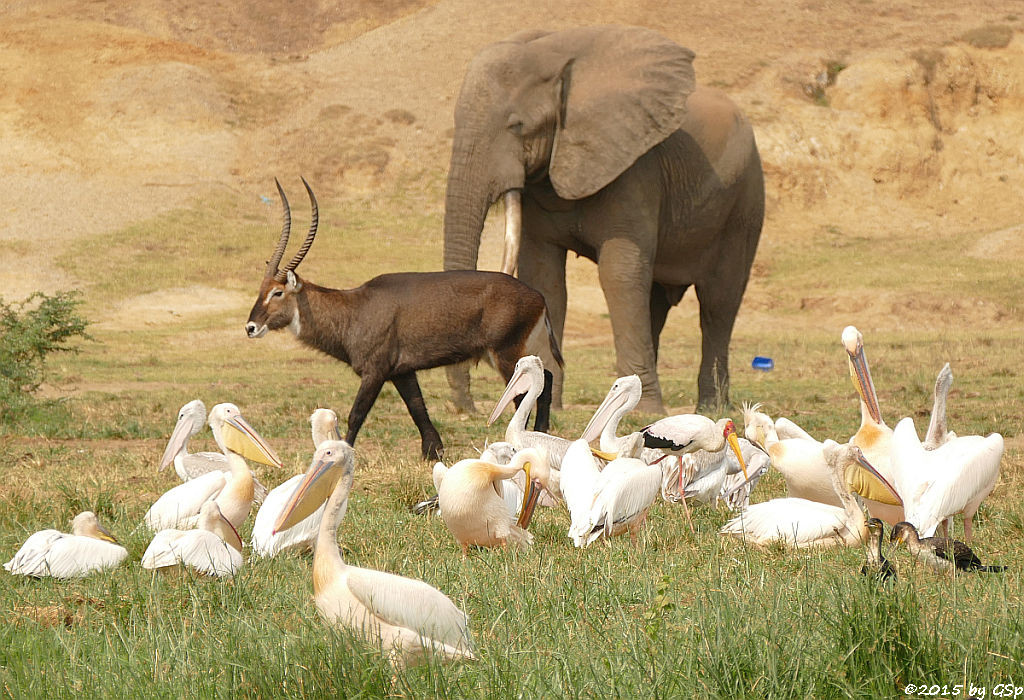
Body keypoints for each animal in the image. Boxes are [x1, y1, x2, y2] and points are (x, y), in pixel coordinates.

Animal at [444, 25, 765, 415]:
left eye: (517, 126)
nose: (469, 410)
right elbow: (546, 279)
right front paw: (551, 405)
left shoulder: (634, 168)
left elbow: (619, 275)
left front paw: (645, 413)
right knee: (656, 303)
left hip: (745, 202)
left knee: (718, 303)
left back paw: (711, 408)